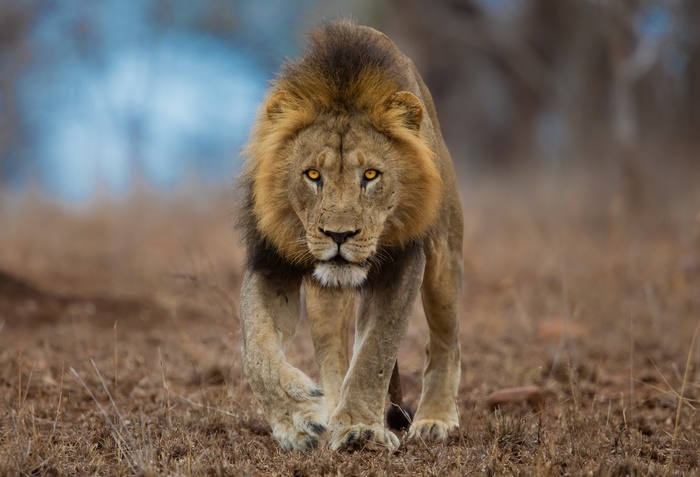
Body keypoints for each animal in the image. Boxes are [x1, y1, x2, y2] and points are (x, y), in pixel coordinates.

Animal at [237, 20, 463, 452]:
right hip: (325, 302)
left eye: (371, 175)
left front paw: (361, 428)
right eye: (312, 174)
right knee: (334, 353)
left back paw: (436, 419)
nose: (338, 235)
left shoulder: (405, 261)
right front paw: (296, 418)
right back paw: (330, 409)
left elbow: (377, 351)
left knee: (445, 340)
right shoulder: (272, 263)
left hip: (444, 259)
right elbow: (256, 350)